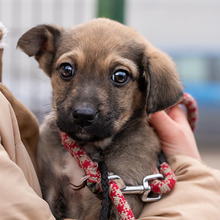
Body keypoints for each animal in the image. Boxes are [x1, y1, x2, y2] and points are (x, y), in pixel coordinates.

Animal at [17, 18, 182, 220]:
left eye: (120, 76)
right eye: (66, 69)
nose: (83, 115)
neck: (90, 148)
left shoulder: (125, 192)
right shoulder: (51, 185)